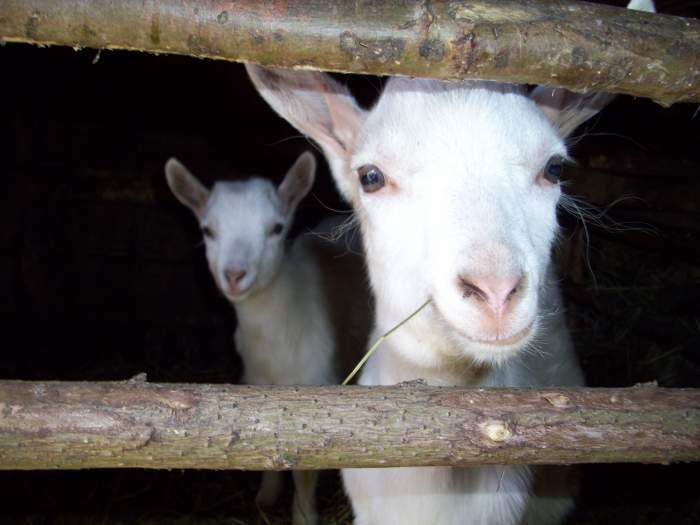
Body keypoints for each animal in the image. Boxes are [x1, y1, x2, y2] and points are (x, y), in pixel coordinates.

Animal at [165, 149, 372, 520]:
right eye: (208, 230)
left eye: (276, 228)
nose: (234, 275)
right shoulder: (256, 383)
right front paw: (266, 496)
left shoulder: (314, 386)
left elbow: (304, 470)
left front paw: (303, 516)